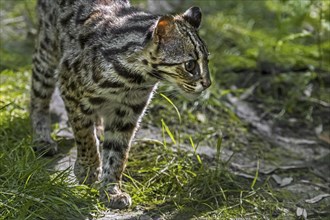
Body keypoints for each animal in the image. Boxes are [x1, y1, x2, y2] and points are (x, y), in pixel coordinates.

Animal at [31, 0, 211, 210]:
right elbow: (85, 137)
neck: (134, 78)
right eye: (190, 65)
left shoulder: (128, 111)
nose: (208, 84)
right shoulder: (70, 87)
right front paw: (88, 170)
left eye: (207, 60)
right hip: (47, 52)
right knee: (38, 97)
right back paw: (42, 139)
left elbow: (118, 153)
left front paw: (111, 190)